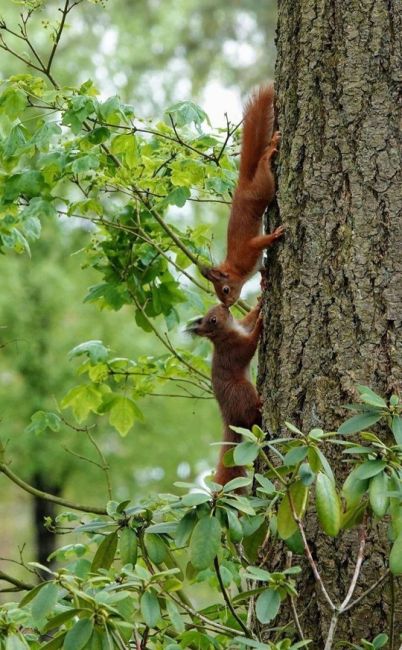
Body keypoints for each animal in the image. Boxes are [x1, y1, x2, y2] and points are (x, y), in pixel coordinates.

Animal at [187, 302, 262, 484]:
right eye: (213, 320)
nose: (224, 306)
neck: (227, 332)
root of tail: (230, 418)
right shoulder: (233, 349)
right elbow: (250, 345)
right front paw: (260, 324)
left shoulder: (242, 326)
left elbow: (248, 320)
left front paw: (259, 304)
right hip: (242, 390)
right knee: (251, 418)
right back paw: (260, 405)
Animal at [201, 84, 282, 306]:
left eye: (225, 289)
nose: (228, 304)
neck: (236, 269)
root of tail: (242, 185)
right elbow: (262, 269)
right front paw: (263, 282)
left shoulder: (249, 250)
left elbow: (260, 242)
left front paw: (276, 234)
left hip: (263, 188)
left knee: (263, 165)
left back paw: (269, 150)